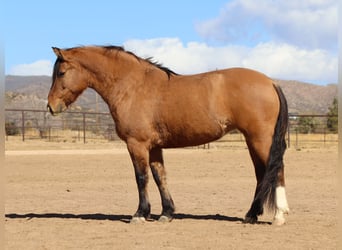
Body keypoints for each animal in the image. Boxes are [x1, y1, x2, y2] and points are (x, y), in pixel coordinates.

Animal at [47, 44, 288, 225]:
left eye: (61, 73)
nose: (51, 106)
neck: (132, 86)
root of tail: (270, 82)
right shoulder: (154, 147)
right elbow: (159, 177)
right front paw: (166, 213)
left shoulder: (137, 144)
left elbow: (141, 177)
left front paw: (140, 214)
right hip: (252, 140)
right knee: (261, 174)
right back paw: (251, 215)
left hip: (261, 140)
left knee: (276, 170)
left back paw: (279, 216)